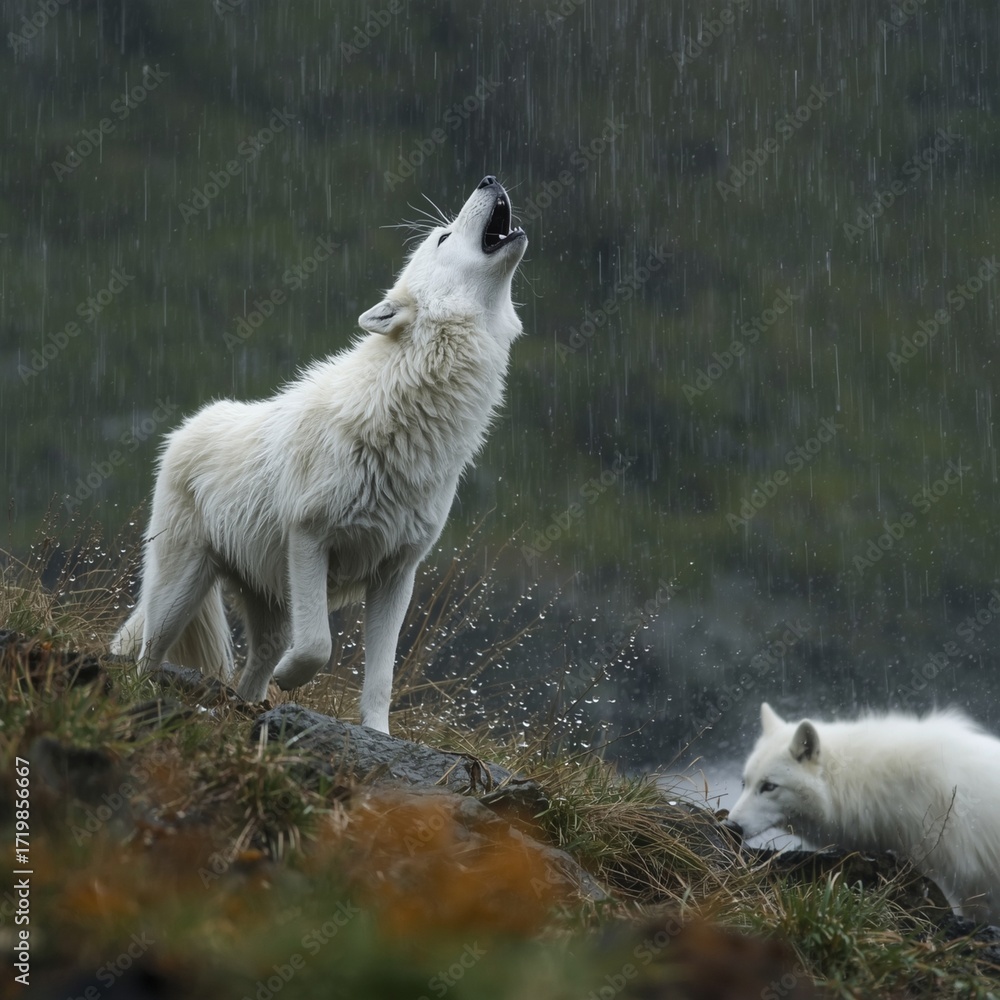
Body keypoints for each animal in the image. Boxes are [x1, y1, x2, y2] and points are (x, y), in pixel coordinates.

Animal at [111, 176, 527, 734]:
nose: (489, 179)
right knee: (150, 652)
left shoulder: (397, 573)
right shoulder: (310, 539)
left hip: (268, 601)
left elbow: (380, 679)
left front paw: (377, 736)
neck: (409, 416)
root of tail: (187, 426)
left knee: (254, 666)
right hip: (183, 587)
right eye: (441, 237)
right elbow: (317, 646)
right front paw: (294, 680)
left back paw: (247, 708)